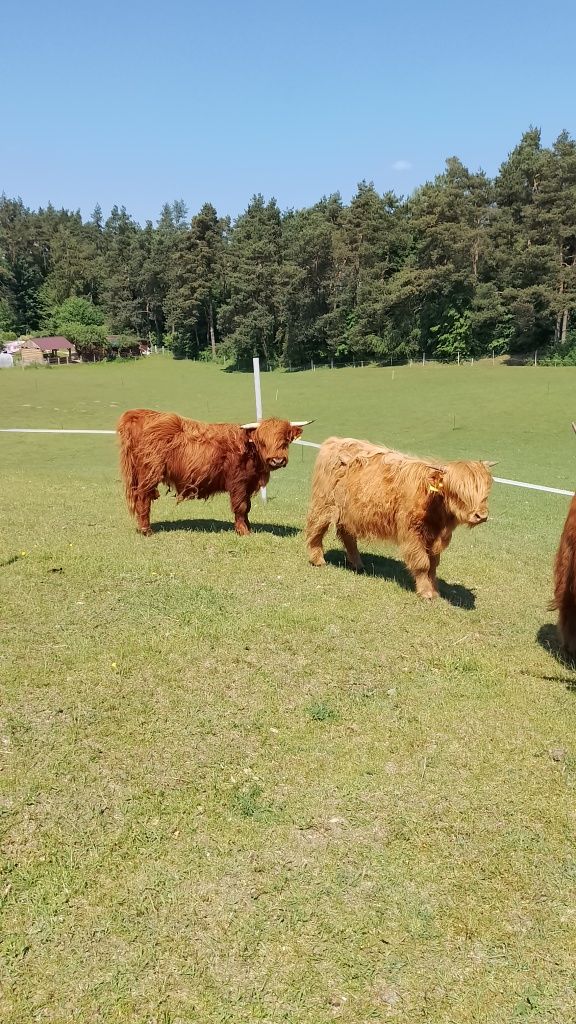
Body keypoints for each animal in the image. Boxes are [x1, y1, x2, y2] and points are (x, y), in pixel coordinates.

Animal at [113, 407, 307, 536]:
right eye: (262, 441)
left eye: (286, 440)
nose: (277, 460)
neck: (250, 450)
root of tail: (139, 414)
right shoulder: (238, 483)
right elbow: (241, 507)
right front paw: (243, 531)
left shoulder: (248, 484)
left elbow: (247, 508)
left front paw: (249, 528)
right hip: (149, 474)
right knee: (143, 499)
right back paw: (146, 531)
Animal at [305, 434, 494, 598]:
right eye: (457, 491)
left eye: (486, 491)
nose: (481, 515)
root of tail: (335, 441)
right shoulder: (412, 533)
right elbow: (422, 563)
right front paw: (426, 593)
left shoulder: (435, 537)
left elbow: (433, 565)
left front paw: (434, 590)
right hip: (324, 503)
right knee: (316, 527)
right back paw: (317, 560)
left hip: (349, 511)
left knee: (347, 535)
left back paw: (357, 564)